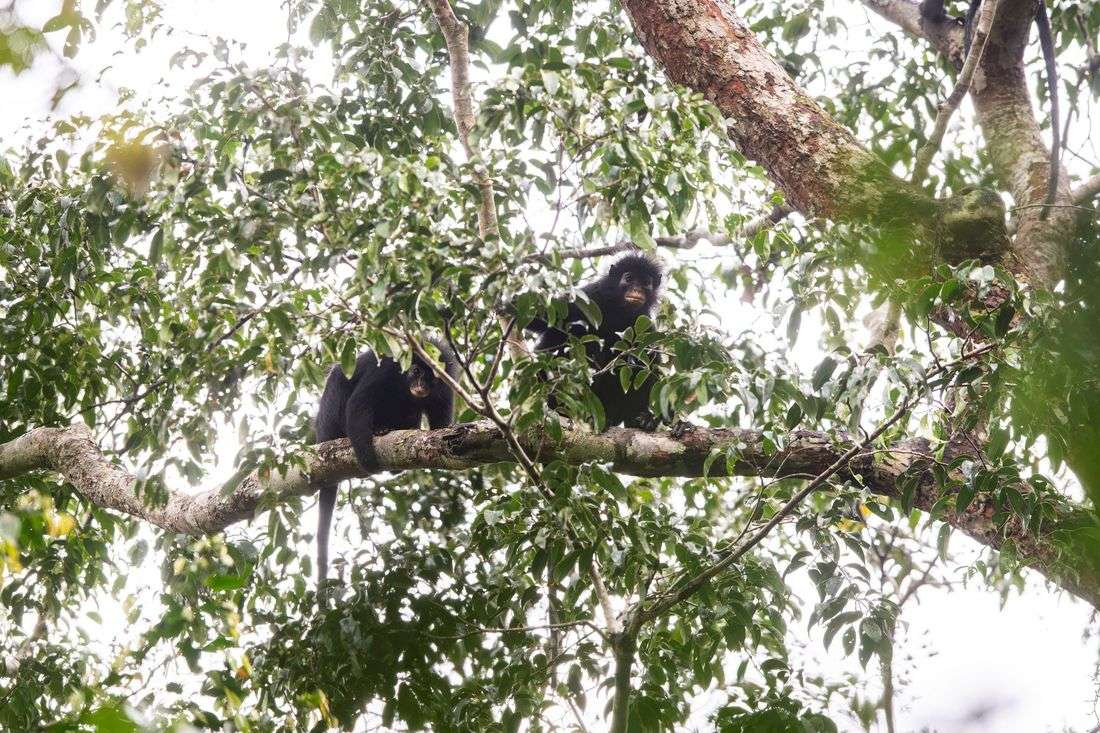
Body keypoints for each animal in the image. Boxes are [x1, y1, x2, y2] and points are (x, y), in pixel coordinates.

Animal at [312, 340, 458, 583]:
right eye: (416, 371)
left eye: (432, 377)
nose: (421, 385)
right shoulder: (386, 369)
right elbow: (359, 404)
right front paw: (368, 460)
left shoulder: (445, 386)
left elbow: (440, 429)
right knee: (339, 378)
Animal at [525, 253, 664, 429]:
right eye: (629, 278)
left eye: (646, 283)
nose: (637, 290)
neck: (618, 311)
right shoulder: (590, 297)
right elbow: (543, 317)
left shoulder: (644, 322)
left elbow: (650, 362)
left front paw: (650, 417)